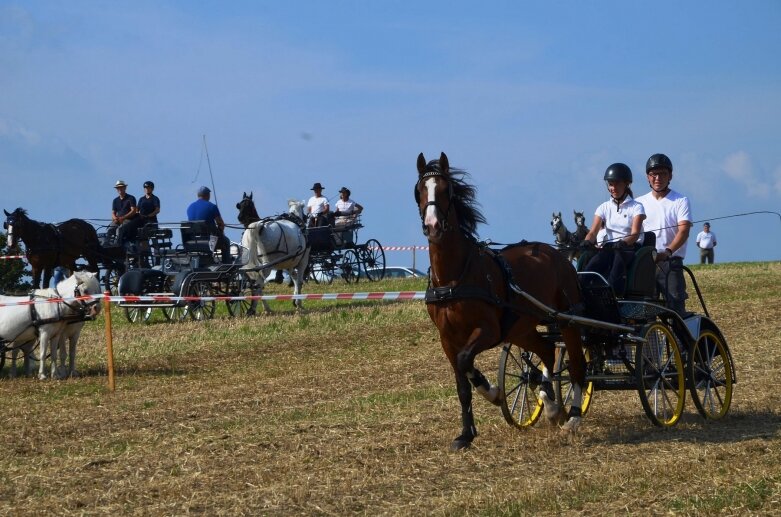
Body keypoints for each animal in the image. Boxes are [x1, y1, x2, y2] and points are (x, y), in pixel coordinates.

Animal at [414, 151, 584, 450]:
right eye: (420, 190)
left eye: (446, 190)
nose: (433, 226)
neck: (454, 278)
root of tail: (558, 255)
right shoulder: (447, 338)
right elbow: (462, 383)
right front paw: (466, 434)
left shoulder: (489, 331)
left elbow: (465, 360)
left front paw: (492, 392)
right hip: (522, 328)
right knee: (547, 351)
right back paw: (550, 404)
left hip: (567, 319)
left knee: (575, 364)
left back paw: (572, 417)